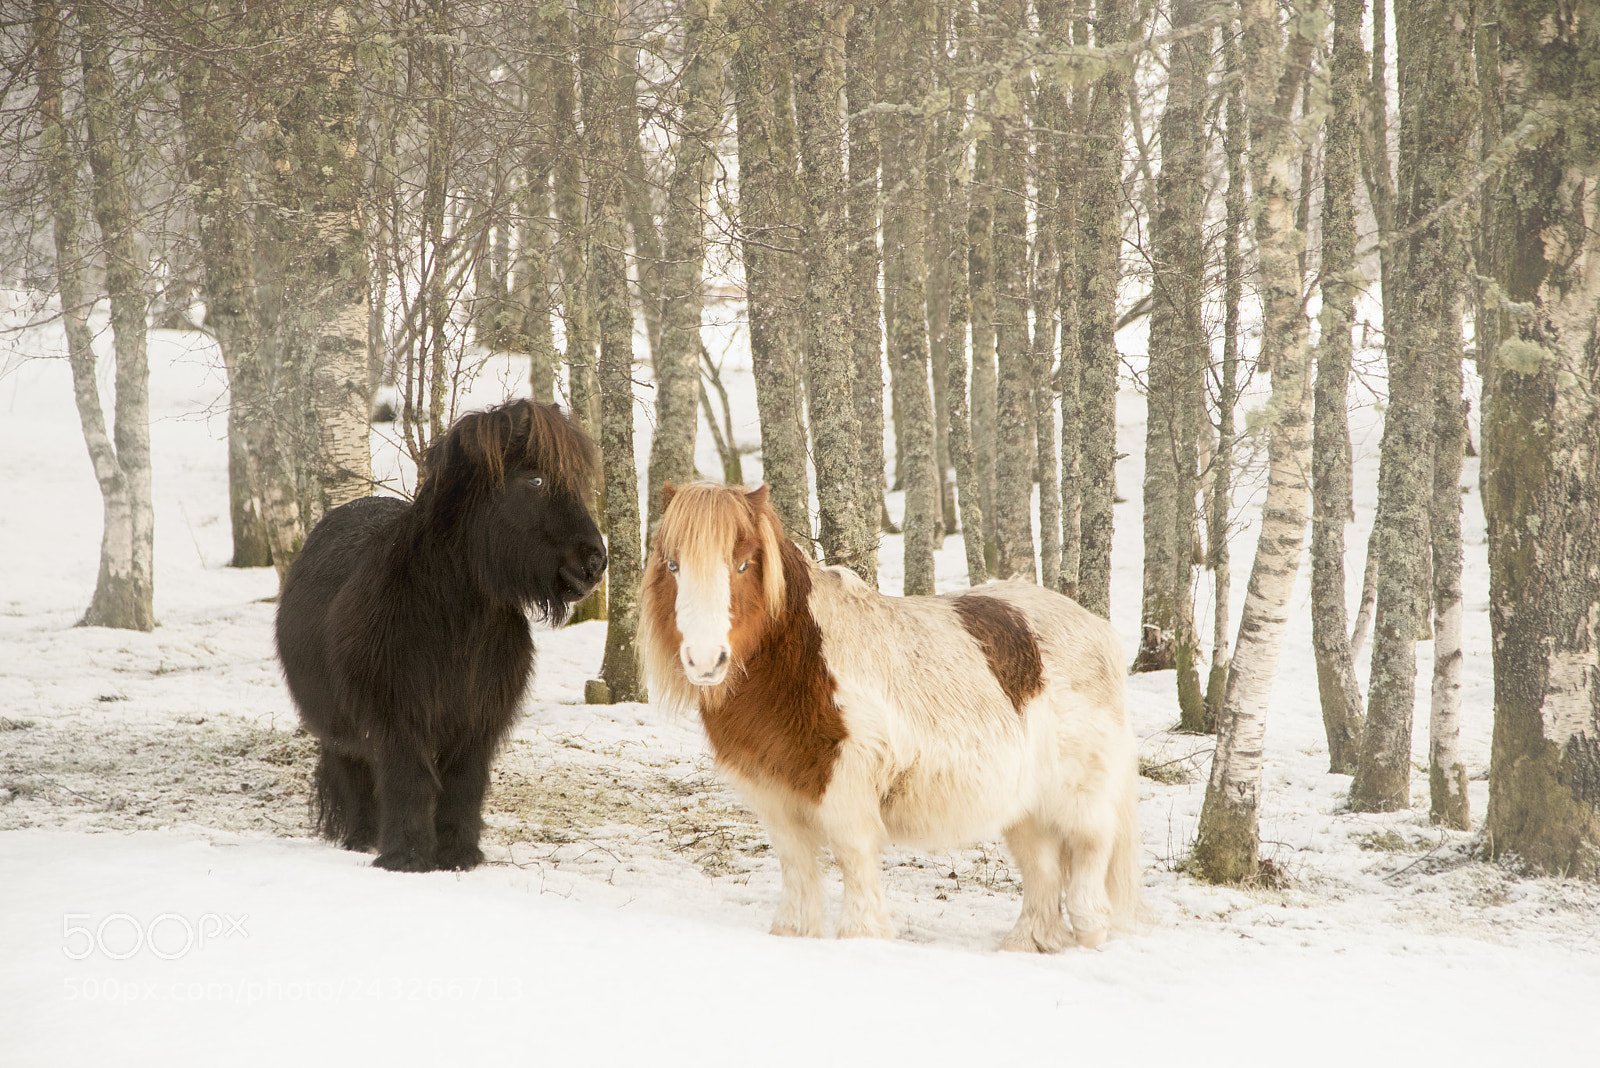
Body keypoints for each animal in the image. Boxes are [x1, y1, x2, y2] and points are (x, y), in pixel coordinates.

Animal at [275, 399, 606, 872]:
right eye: (535, 479)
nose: (595, 563)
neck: (453, 622)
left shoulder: (477, 723)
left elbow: (463, 786)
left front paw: (458, 855)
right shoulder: (399, 720)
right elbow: (410, 783)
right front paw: (407, 857)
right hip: (338, 729)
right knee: (355, 778)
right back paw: (362, 839)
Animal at [638, 481, 1144, 950]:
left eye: (743, 564)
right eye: (673, 565)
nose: (705, 660)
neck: (800, 663)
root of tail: (1096, 627)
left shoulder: (847, 781)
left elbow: (852, 854)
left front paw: (863, 937)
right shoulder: (773, 791)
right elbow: (795, 862)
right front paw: (793, 934)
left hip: (1076, 793)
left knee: (1091, 848)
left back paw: (1089, 930)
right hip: (1024, 804)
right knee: (1041, 867)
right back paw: (1028, 944)